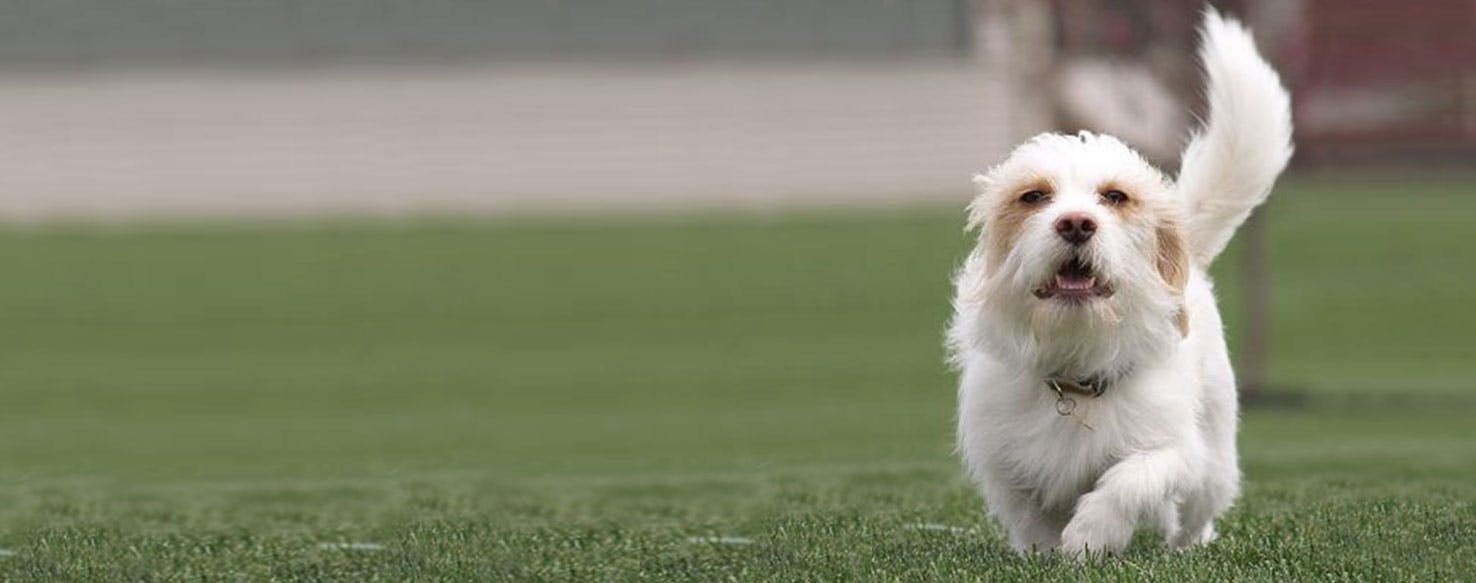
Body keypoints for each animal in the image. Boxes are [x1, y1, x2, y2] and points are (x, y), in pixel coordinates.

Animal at [944, 6, 1292, 557]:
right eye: (1033, 196)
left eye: (1114, 196)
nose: (1076, 223)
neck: (1075, 368)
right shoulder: (1006, 463)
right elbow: (1031, 516)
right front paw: (1046, 552)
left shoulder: (1172, 448)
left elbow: (1129, 480)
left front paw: (1090, 537)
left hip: (1215, 457)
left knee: (1198, 510)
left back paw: (1187, 545)